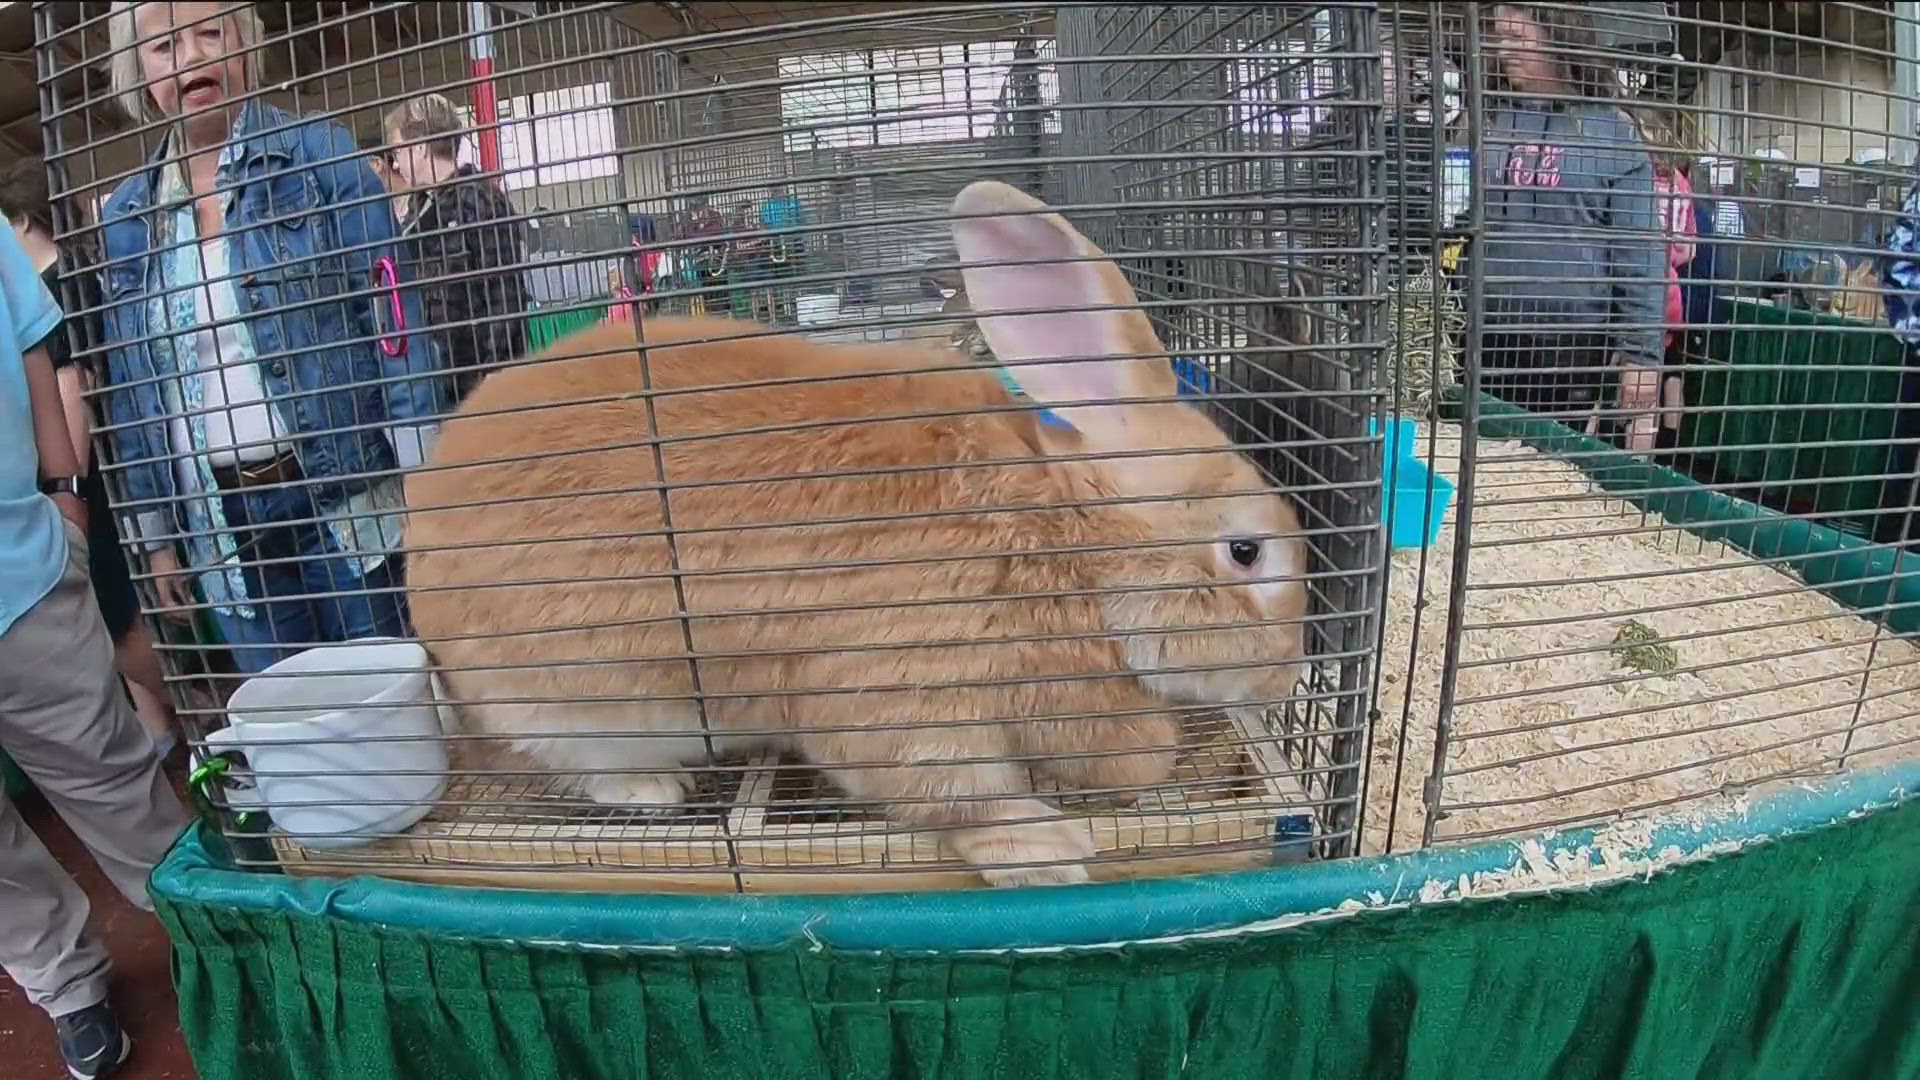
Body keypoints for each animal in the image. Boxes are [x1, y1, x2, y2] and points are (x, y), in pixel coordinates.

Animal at [403, 178, 1305, 883]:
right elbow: (959, 796)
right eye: (1246, 550)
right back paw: (652, 789)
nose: (1284, 681)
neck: (1059, 531)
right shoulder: (903, 694)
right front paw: (1048, 850)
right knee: (559, 761)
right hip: (564, 708)